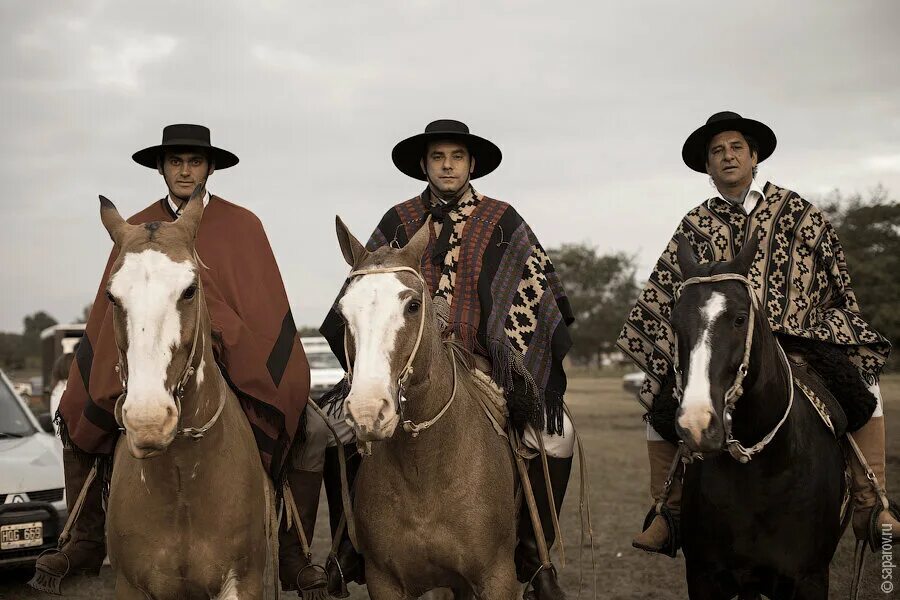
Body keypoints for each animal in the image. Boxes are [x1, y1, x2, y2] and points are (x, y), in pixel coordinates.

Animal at [100, 190, 270, 596]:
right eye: (112, 297)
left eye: (190, 290)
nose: (148, 421)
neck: (181, 480)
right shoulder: (130, 587)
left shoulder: (244, 581)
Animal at [330, 218, 516, 596]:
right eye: (343, 314)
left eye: (413, 305)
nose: (368, 411)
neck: (425, 471)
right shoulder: (384, 581)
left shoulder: (498, 577)